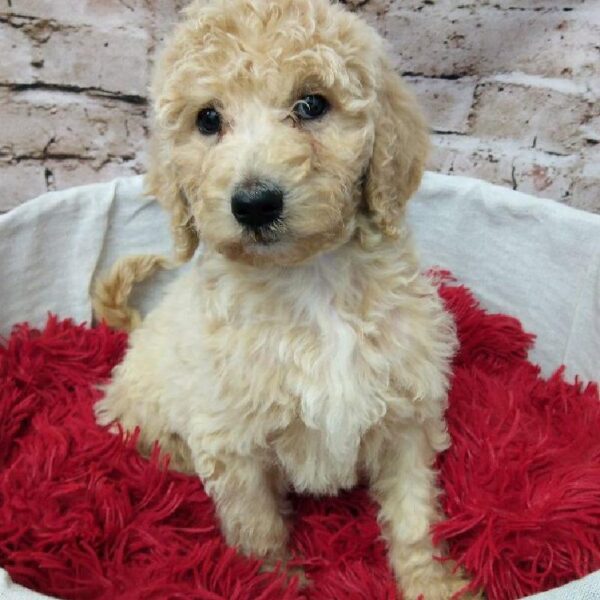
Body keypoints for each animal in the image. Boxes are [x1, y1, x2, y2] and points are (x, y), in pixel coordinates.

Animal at [95, 2, 474, 596]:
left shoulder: (406, 415)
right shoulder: (233, 441)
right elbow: (258, 529)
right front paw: (277, 581)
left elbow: (415, 514)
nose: (254, 203)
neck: (309, 279)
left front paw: (430, 582)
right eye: (207, 119)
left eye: (312, 104)